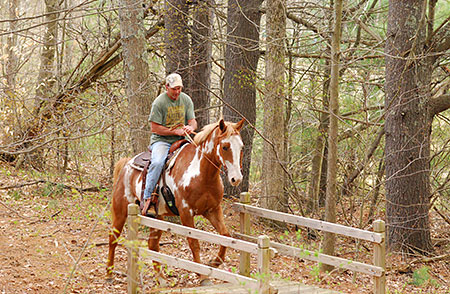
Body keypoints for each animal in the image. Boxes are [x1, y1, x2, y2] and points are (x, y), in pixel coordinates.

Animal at [107, 118, 244, 284]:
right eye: (225, 147)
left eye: (241, 147)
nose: (236, 178)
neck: (202, 174)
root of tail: (126, 164)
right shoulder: (186, 213)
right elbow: (194, 243)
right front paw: (202, 276)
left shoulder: (213, 210)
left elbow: (225, 236)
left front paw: (214, 262)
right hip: (121, 210)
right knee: (112, 238)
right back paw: (109, 274)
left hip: (157, 217)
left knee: (153, 244)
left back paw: (161, 278)